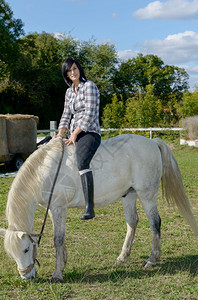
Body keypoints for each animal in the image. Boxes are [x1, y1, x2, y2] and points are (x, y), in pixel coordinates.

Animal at [0, 135, 198, 282]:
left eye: (26, 249)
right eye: (11, 254)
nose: (27, 277)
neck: (45, 171)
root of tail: (152, 142)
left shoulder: (58, 208)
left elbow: (58, 239)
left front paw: (57, 274)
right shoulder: (53, 210)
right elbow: (60, 237)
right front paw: (63, 262)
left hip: (147, 194)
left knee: (155, 223)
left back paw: (152, 259)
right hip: (129, 195)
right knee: (132, 222)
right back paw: (122, 257)